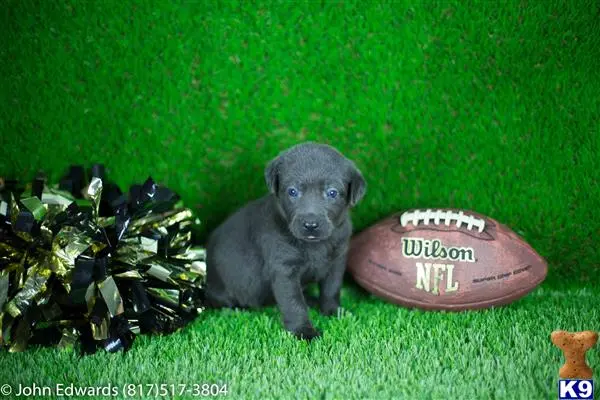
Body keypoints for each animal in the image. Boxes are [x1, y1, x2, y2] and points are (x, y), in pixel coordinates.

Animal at [206, 142, 366, 340]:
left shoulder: (337, 260)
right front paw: (304, 331)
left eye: (332, 193)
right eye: (293, 191)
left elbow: (332, 288)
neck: (314, 245)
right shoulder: (284, 270)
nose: (310, 224)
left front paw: (333, 311)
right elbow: (294, 303)